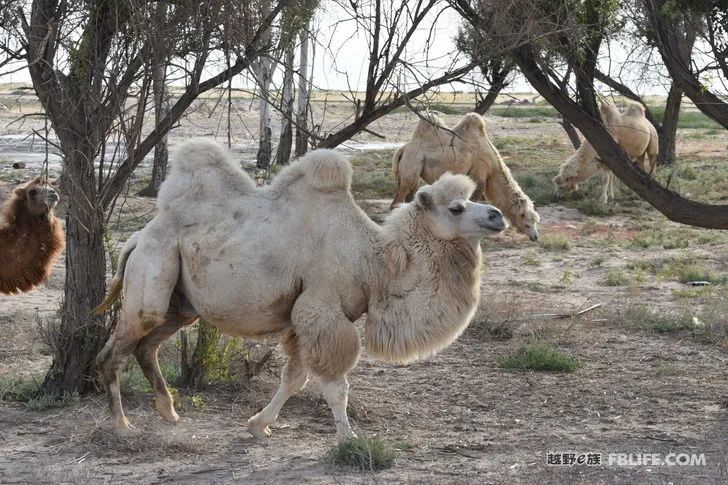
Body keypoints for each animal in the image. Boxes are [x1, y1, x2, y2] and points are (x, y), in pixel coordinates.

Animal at [94, 139, 506, 438]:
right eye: (456, 208)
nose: (497, 216)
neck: (371, 260)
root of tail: (137, 238)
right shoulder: (320, 309)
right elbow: (334, 385)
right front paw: (348, 439)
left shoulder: (304, 317)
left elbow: (294, 378)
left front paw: (258, 426)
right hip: (153, 272)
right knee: (116, 349)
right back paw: (121, 425)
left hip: (181, 305)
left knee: (146, 346)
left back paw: (169, 413)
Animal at [390, 113, 536, 242]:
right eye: (527, 220)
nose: (535, 237)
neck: (493, 164)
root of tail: (402, 150)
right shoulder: (479, 174)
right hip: (412, 163)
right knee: (398, 198)